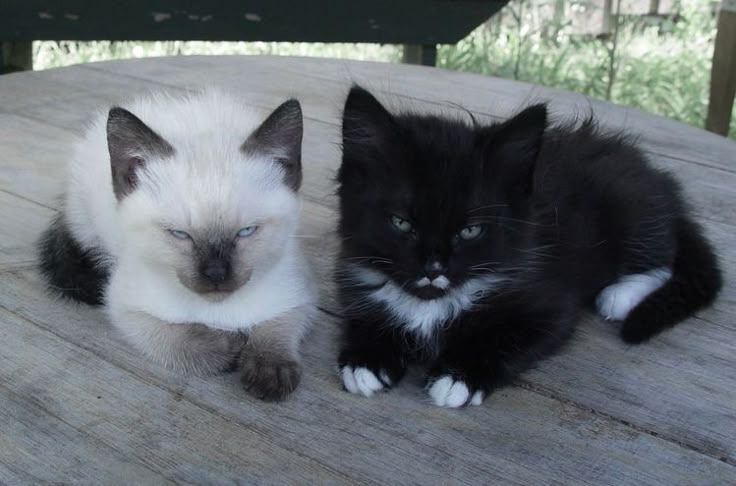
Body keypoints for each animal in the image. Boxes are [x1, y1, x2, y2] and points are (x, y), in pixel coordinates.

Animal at [39, 90, 316, 398]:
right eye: (180, 234)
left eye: (246, 231)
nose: (216, 275)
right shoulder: (126, 309)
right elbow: (177, 340)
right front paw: (229, 347)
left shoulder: (298, 294)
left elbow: (277, 326)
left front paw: (270, 368)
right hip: (86, 223)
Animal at [334, 86, 724, 406]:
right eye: (401, 223)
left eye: (471, 231)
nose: (433, 269)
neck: (432, 303)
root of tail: (655, 176)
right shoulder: (353, 277)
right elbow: (364, 315)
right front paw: (367, 358)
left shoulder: (549, 300)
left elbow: (508, 336)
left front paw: (458, 376)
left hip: (631, 203)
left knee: (661, 254)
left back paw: (620, 295)